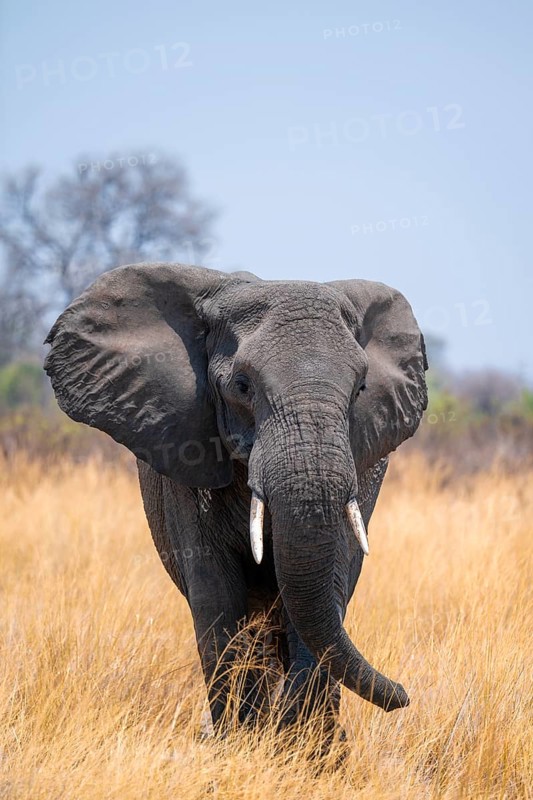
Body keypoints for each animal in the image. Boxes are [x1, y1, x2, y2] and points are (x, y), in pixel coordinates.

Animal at [44, 262, 428, 740]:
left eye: (360, 389)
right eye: (242, 386)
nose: (404, 695)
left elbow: (330, 583)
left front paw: (298, 743)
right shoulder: (185, 455)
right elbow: (216, 596)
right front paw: (246, 742)